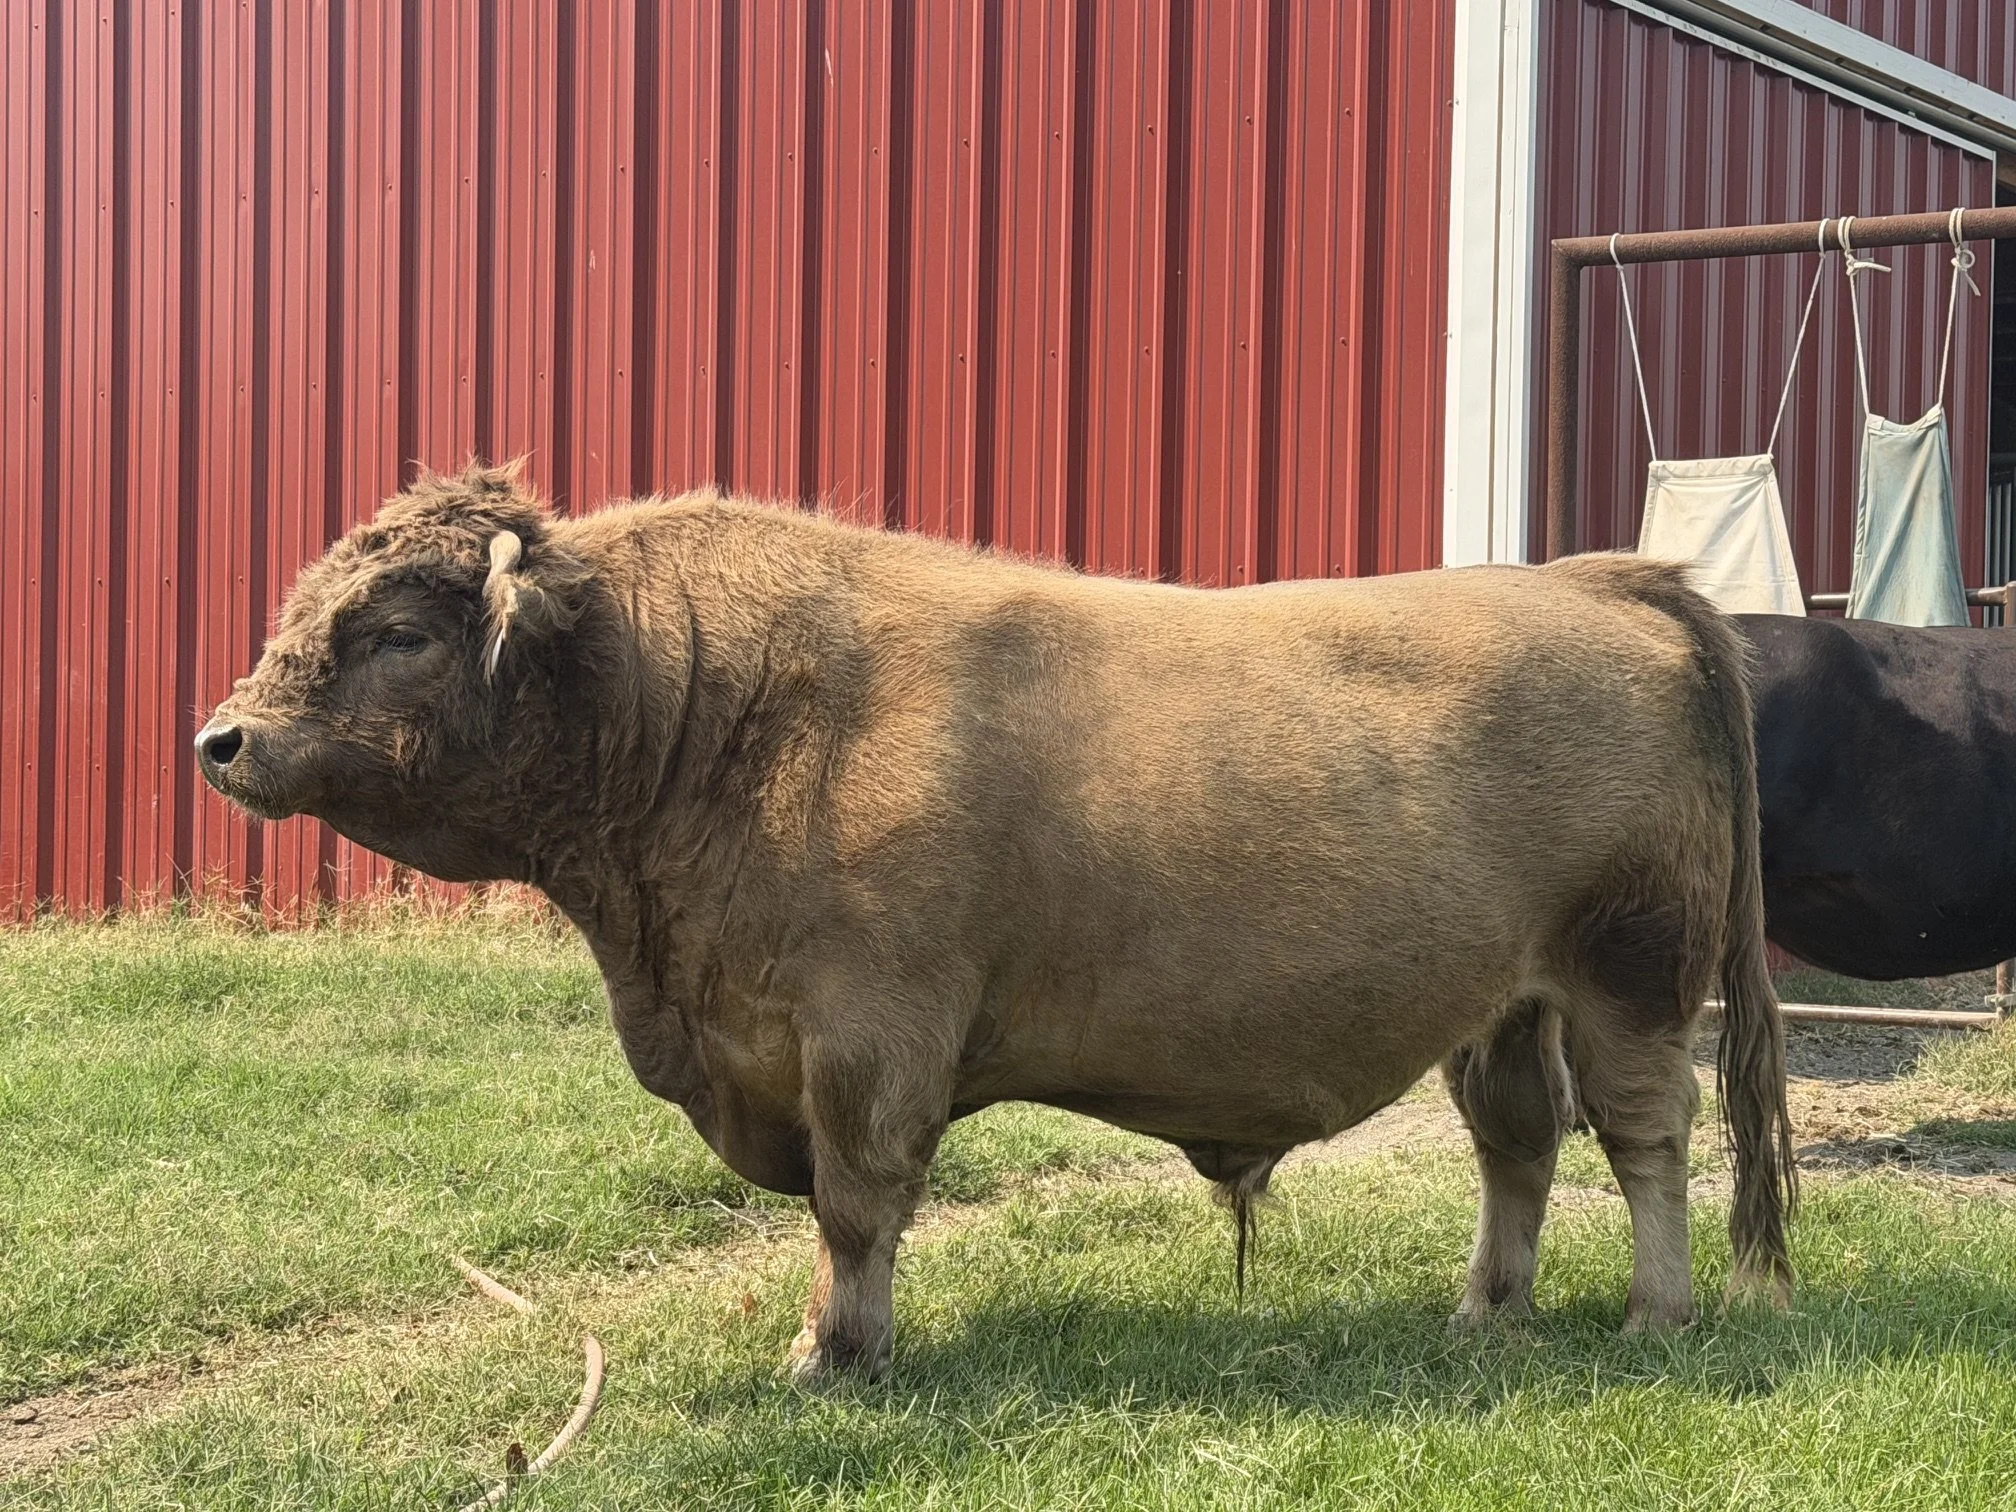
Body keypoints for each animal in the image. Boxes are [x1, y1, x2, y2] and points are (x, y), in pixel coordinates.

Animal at [197, 462, 1795, 1380]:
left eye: (399, 631)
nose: (223, 739)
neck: (708, 701)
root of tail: (1600, 581)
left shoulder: (867, 1040)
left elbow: (856, 1209)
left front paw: (832, 1356)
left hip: (1631, 978)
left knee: (1647, 1142)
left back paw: (1657, 1316)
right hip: (1502, 1004)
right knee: (1516, 1147)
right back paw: (1483, 1316)